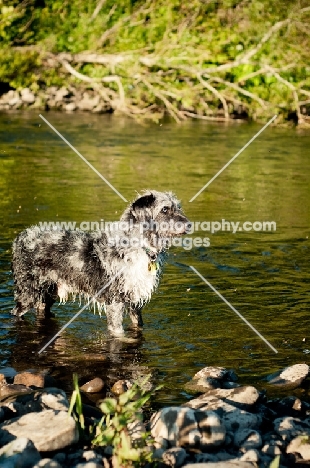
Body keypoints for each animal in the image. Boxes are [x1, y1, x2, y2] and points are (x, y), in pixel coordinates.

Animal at [11, 190, 189, 336]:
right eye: (165, 209)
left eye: (178, 208)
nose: (189, 224)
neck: (139, 246)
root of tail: (20, 237)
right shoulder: (115, 302)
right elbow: (118, 333)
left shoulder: (134, 303)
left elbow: (138, 324)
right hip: (28, 294)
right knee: (15, 312)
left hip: (48, 294)